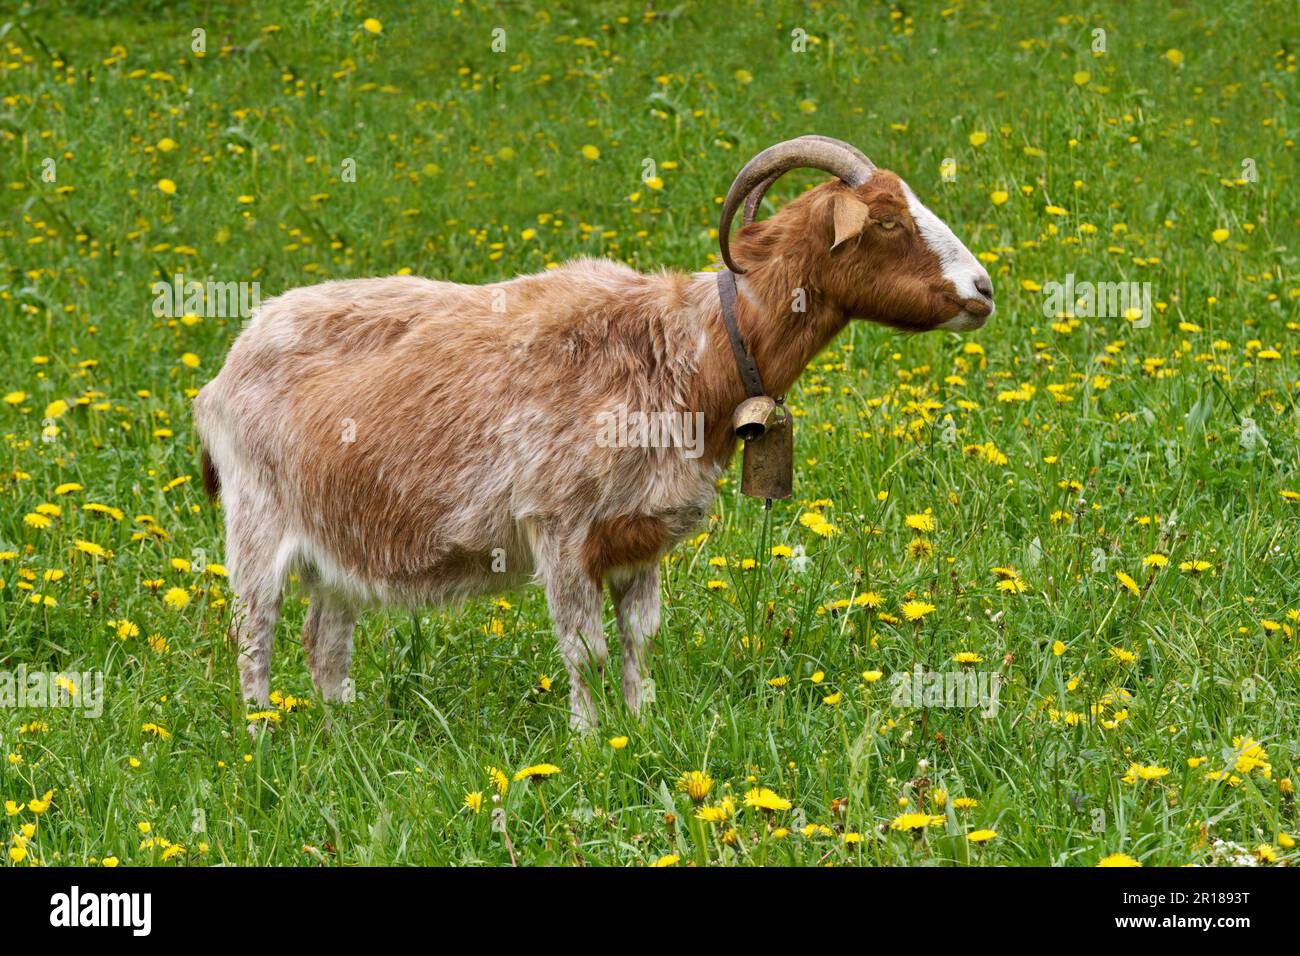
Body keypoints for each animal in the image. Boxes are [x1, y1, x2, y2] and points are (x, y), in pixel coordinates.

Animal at [192, 136, 987, 733]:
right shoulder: (561, 525)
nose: (982, 290)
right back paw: (263, 738)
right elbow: (586, 651)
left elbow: (637, 644)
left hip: (339, 538)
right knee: (255, 632)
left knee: (325, 644)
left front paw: (640, 726)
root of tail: (226, 368)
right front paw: (588, 741)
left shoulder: (640, 535)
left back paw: (342, 733)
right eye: (887, 221)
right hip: (257, 518)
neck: (685, 349)